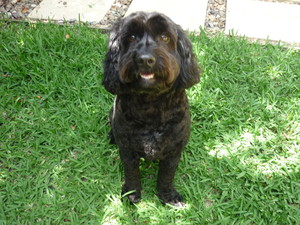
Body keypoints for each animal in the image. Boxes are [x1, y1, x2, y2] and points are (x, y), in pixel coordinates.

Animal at [103, 11, 202, 207]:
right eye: (132, 37)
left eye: (164, 37)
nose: (145, 59)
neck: (151, 104)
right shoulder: (127, 149)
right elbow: (131, 173)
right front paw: (131, 194)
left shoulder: (173, 151)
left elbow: (166, 176)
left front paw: (167, 196)